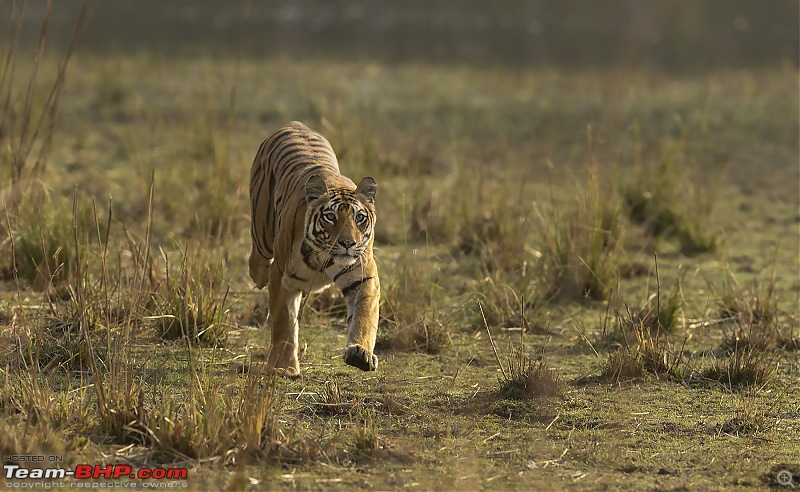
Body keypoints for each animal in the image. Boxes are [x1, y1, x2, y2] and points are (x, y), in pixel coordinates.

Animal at [248, 121, 380, 374]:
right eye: (330, 217)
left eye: (359, 218)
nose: (348, 243)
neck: (326, 257)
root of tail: (294, 124)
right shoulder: (280, 275)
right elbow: (283, 322)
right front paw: (283, 367)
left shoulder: (362, 277)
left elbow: (364, 315)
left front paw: (360, 353)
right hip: (263, 232)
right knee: (258, 262)